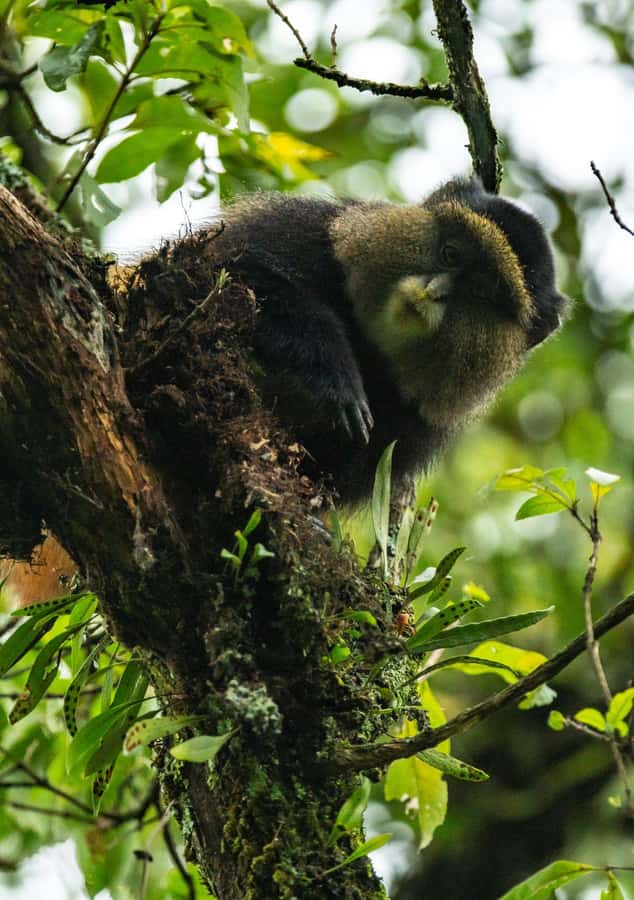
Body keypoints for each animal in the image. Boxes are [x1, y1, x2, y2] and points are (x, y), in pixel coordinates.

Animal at [206, 177, 569, 505]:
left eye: (481, 291)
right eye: (450, 254)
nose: (433, 291)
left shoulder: (411, 428)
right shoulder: (303, 228)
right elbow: (230, 266)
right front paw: (336, 376)